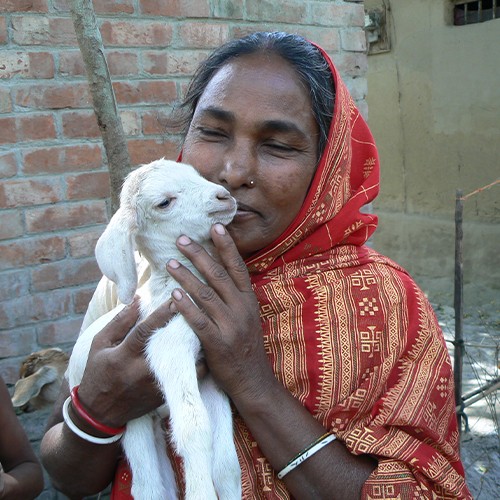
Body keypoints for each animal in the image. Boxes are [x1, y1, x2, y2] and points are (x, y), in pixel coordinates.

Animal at [65, 159, 241, 500]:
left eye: (197, 174)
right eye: (164, 203)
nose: (223, 196)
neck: (170, 288)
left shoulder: (209, 370)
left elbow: (226, 458)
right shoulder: (168, 350)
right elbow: (194, 428)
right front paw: (201, 492)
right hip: (130, 414)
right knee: (146, 484)